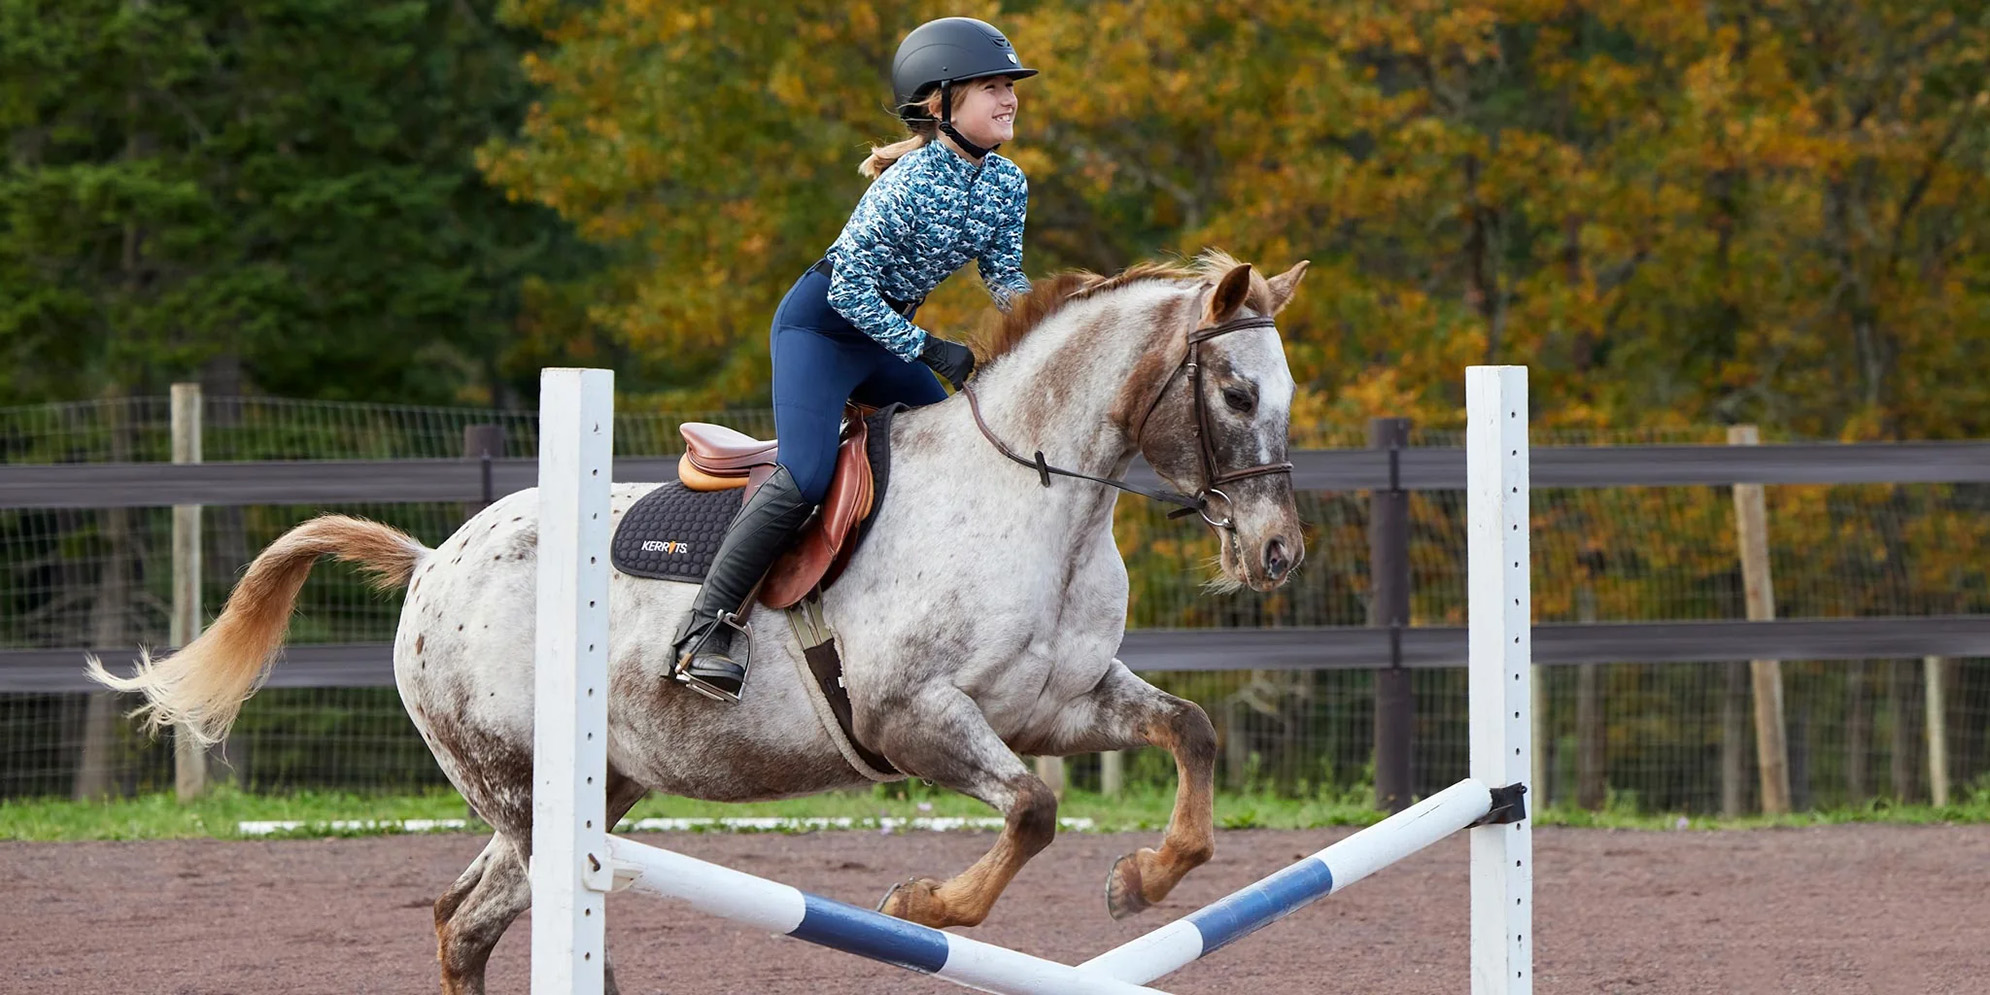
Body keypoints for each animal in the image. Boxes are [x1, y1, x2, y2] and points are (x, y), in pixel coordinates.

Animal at [89, 250, 1309, 994]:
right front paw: (924, 898)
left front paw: (1143, 880)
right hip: (525, 795)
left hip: (594, 788)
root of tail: (437, 562)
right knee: (512, 915)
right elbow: (1033, 809)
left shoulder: (1058, 702)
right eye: (1237, 394)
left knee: (463, 918)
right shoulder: (913, 717)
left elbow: (1189, 733)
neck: (1036, 496)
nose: (1277, 552)